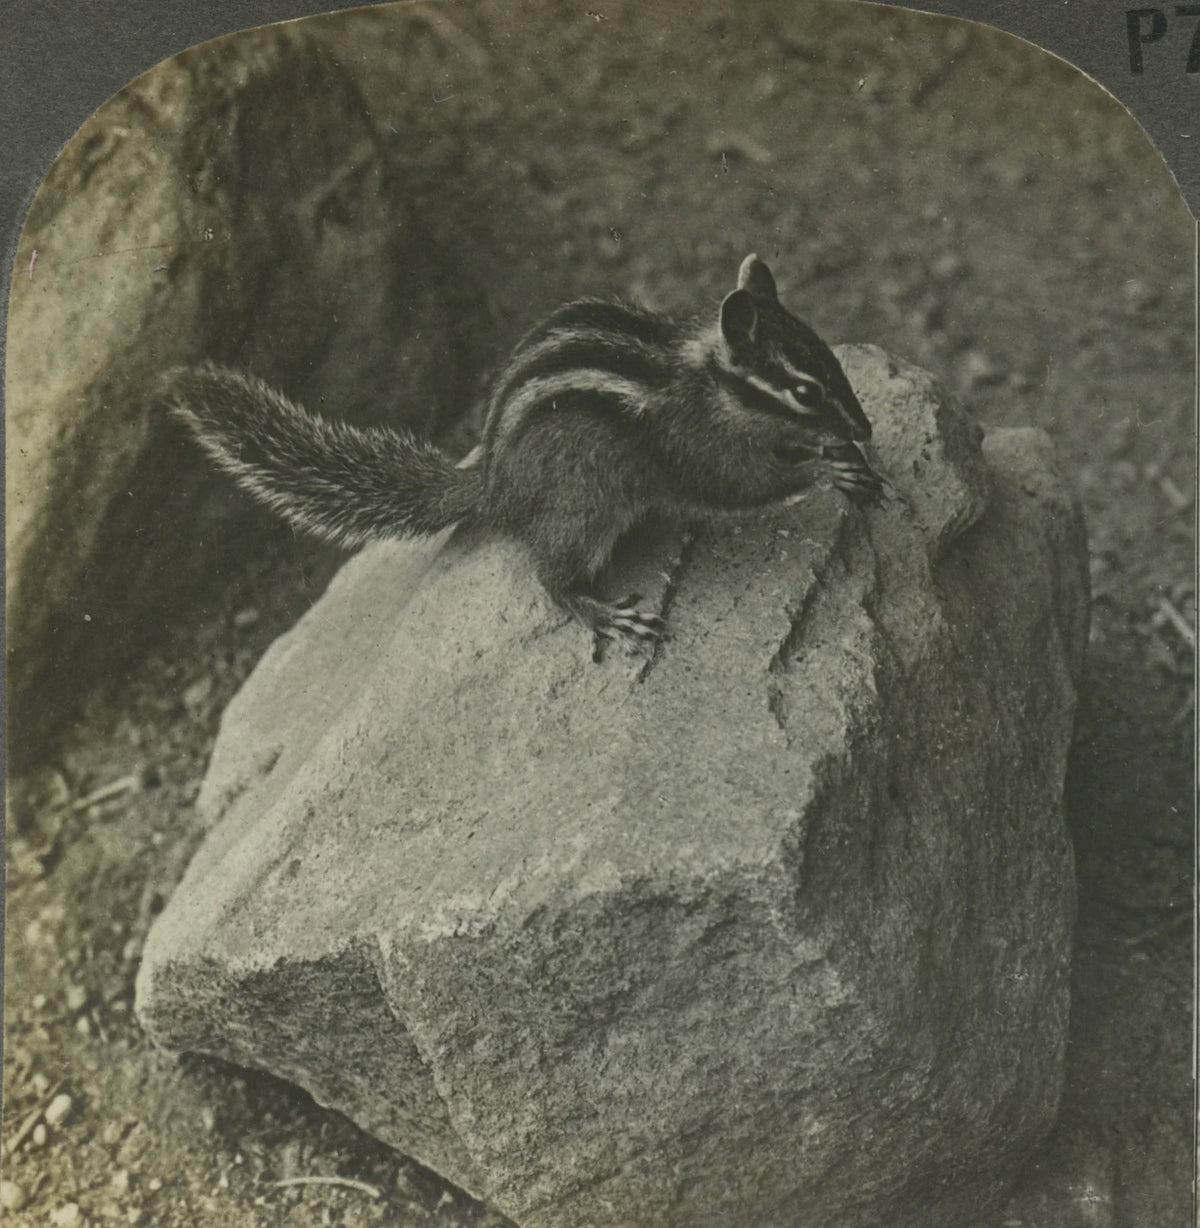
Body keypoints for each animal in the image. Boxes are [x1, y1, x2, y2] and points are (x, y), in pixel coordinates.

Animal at [164, 254, 883, 653]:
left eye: (828, 356)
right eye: (804, 388)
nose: (867, 425)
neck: (705, 378)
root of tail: (490, 484)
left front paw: (850, 457)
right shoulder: (693, 445)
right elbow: (740, 485)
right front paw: (827, 463)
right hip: (582, 510)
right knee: (551, 579)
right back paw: (603, 613)